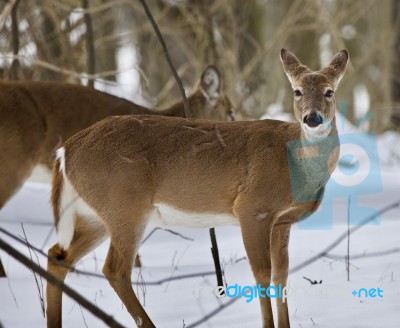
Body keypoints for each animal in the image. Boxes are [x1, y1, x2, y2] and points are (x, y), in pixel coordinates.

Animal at [46, 49, 346, 328]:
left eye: (329, 91)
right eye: (297, 91)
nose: (312, 118)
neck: (295, 165)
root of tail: (66, 150)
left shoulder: (283, 220)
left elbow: (281, 275)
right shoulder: (252, 208)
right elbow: (261, 273)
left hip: (95, 213)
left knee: (58, 256)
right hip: (124, 204)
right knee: (115, 269)